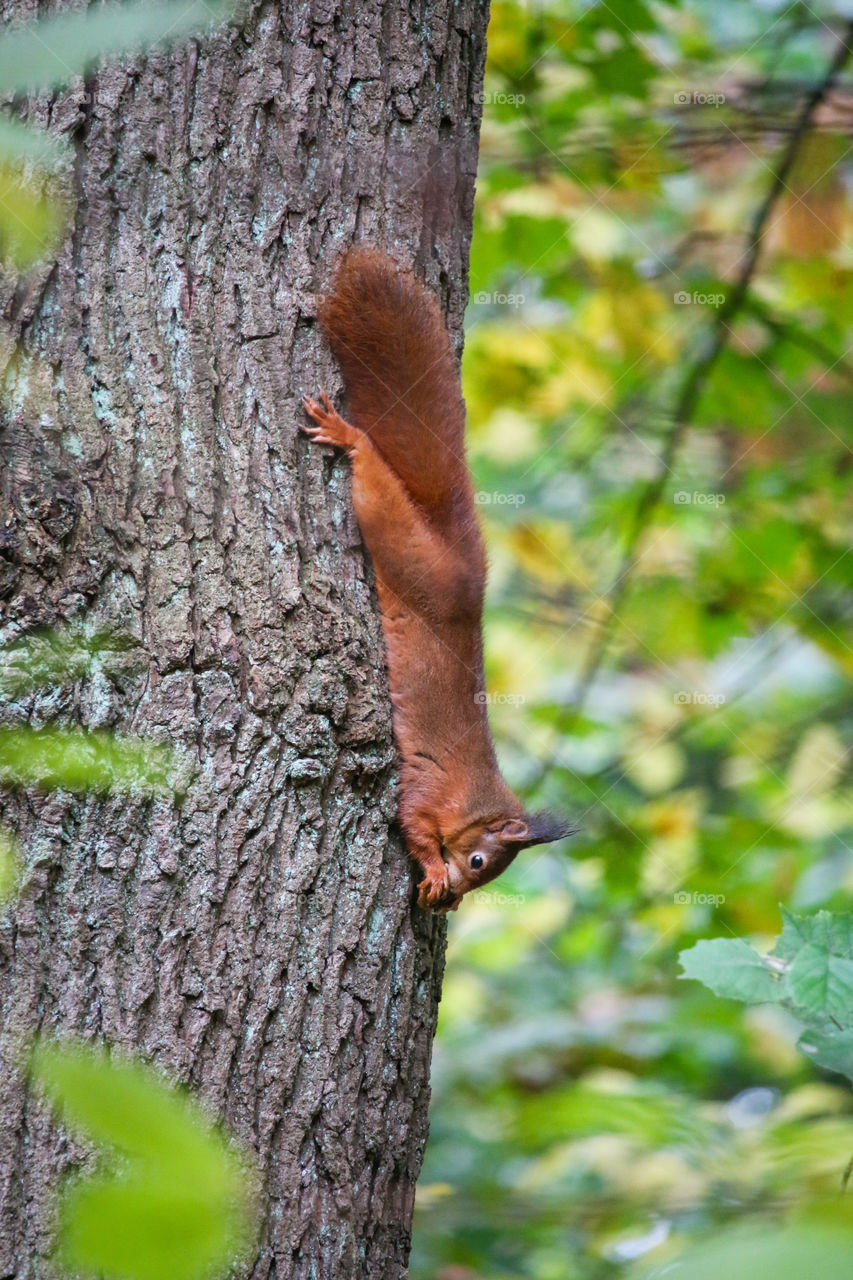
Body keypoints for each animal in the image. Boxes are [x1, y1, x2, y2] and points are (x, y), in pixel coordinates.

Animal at [302, 249, 568, 911]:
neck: (473, 798)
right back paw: (349, 437)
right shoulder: (427, 794)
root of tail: (465, 571)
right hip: (409, 550)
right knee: (375, 482)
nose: (455, 901)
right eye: (477, 861)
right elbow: (414, 826)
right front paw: (433, 874)